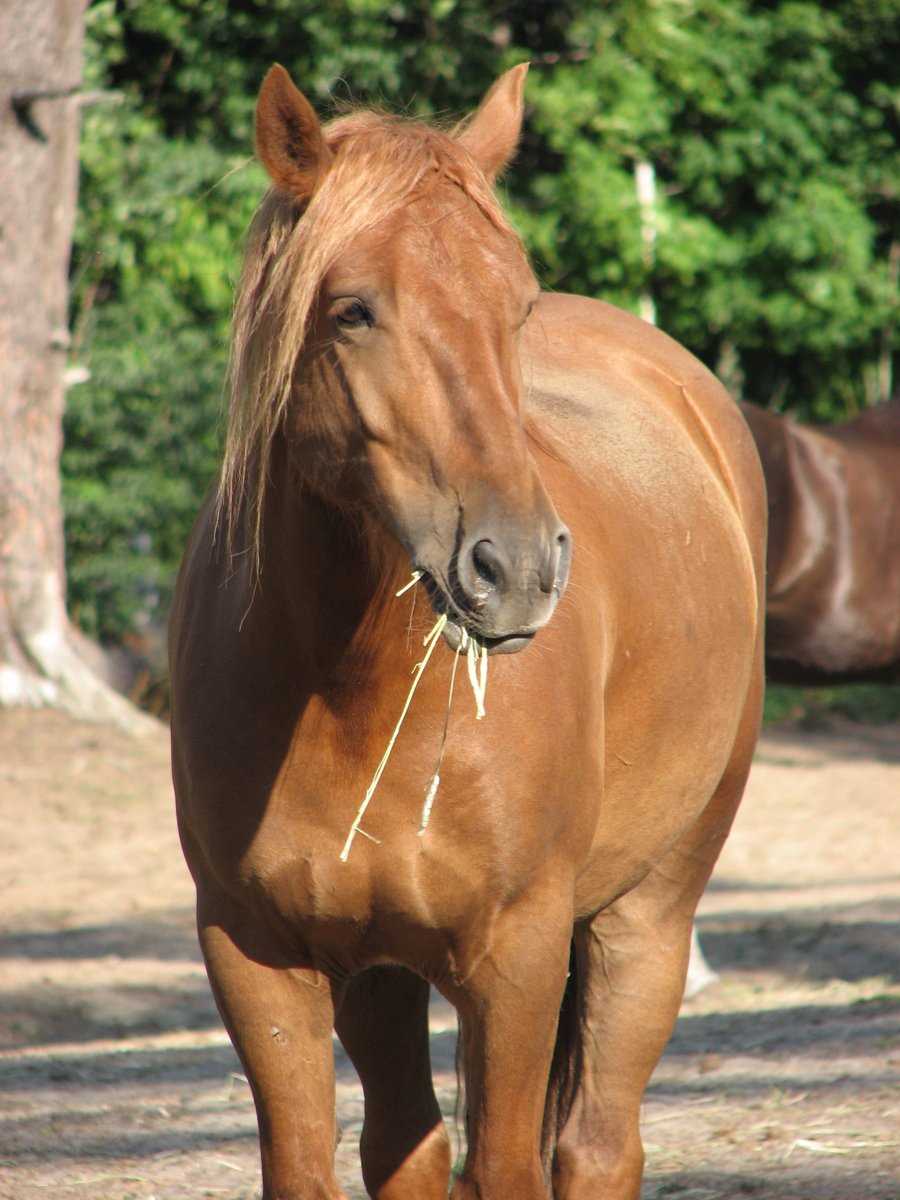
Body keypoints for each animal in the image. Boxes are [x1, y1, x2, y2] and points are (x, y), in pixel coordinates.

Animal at [170, 65, 768, 1200]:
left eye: (514, 306)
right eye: (354, 310)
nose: (518, 568)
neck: (351, 700)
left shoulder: (518, 957)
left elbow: (507, 1161)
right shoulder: (258, 957)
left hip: (649, 913)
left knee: (596, 1145)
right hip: (386, 976)